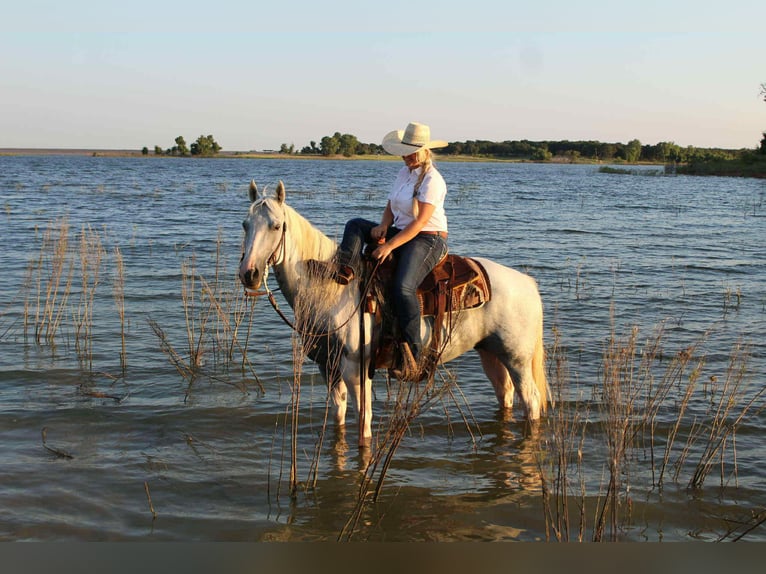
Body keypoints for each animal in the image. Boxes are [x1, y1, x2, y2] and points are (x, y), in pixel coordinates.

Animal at [239, 180, 549, 446]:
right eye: (245, 224)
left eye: (276, 226)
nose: (249, 274)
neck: (331, 288)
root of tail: (527, 283)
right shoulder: (328, 366)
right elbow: (339, 416)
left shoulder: (355, 368)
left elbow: (363, 423)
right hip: (491, 353)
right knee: (505, 394)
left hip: (517, 359)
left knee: (531, 400)